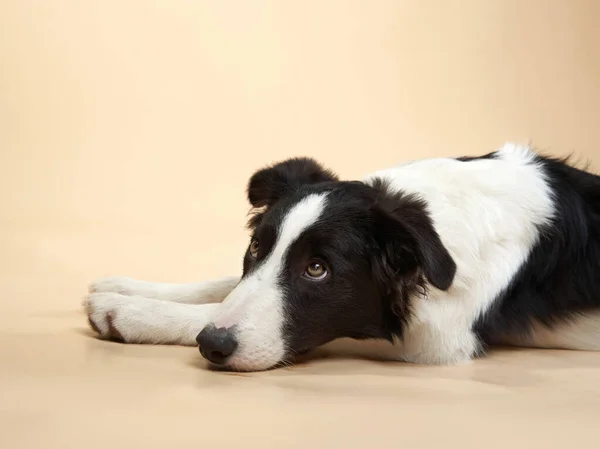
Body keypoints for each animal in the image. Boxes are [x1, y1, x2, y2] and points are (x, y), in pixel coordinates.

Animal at [84, 144, 600, 372]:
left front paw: (129, 312)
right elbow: (227, 284)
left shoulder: (435, 342)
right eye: (256, 247)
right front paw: (126, 288)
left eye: (318, 269)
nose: (213, 346)